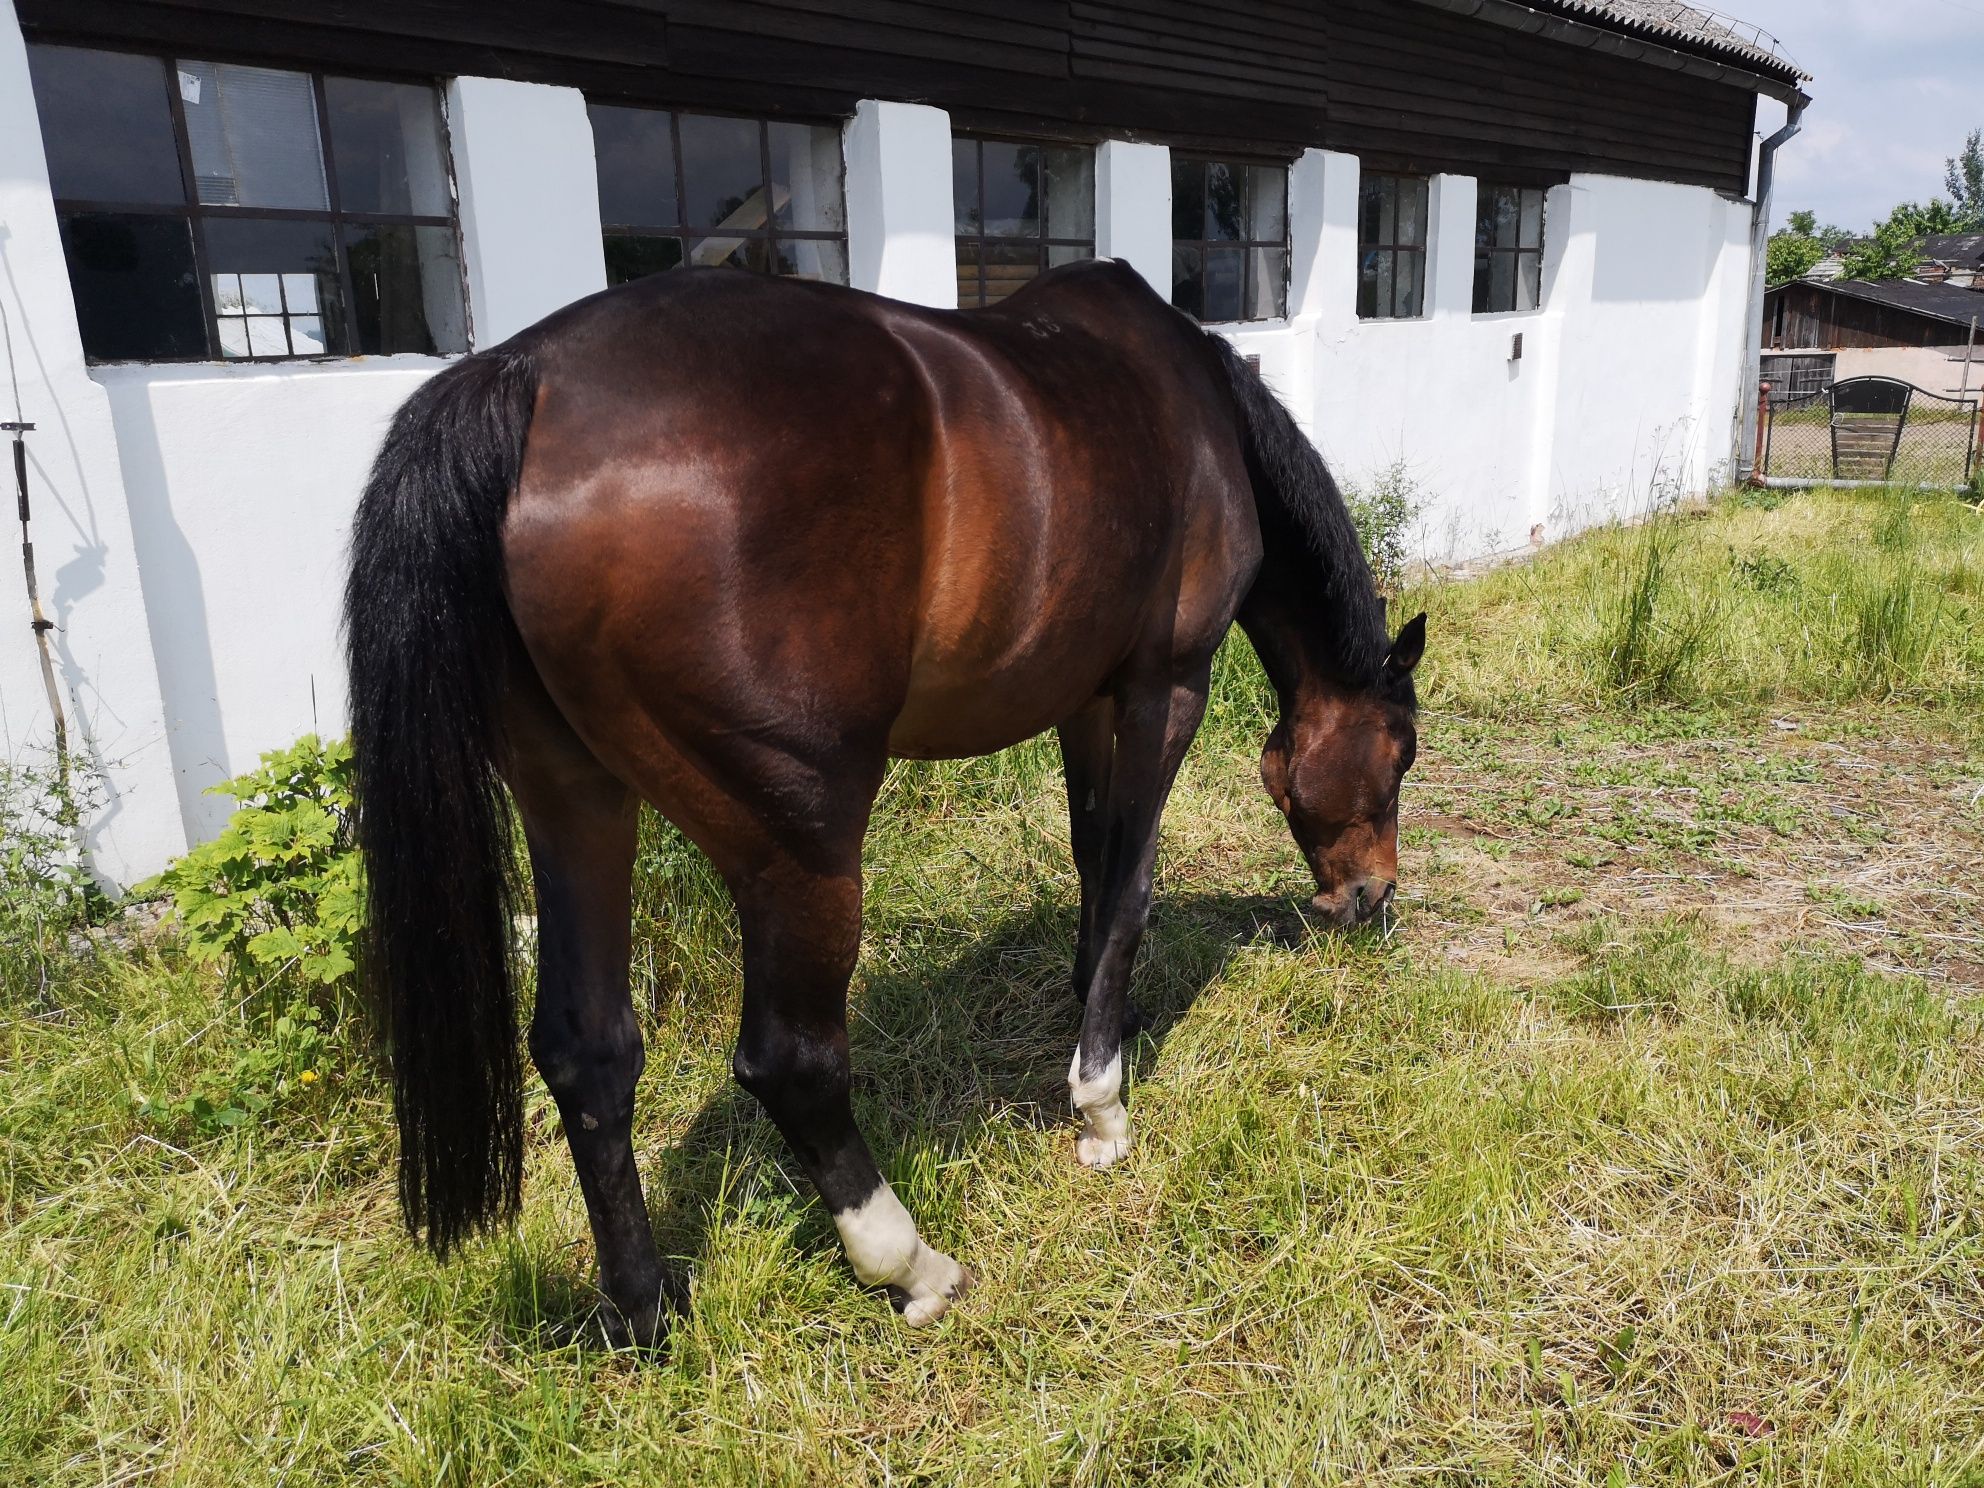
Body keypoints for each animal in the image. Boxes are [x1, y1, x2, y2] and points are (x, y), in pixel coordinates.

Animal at [345, 259, 1428, 1349]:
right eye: (1400, 755)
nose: (1371, 898)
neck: (1194, 408)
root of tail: (528, 379)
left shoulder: (1083, 696)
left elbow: (1091, 856)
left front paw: (1098, 1011)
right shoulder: (1166, 686)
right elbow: (1130, 886)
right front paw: (1100, 1104)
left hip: (574, 800)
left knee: (589, 1052)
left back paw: (648, 1312)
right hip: (801, 838)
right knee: (792, 1061)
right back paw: (909, 1265)